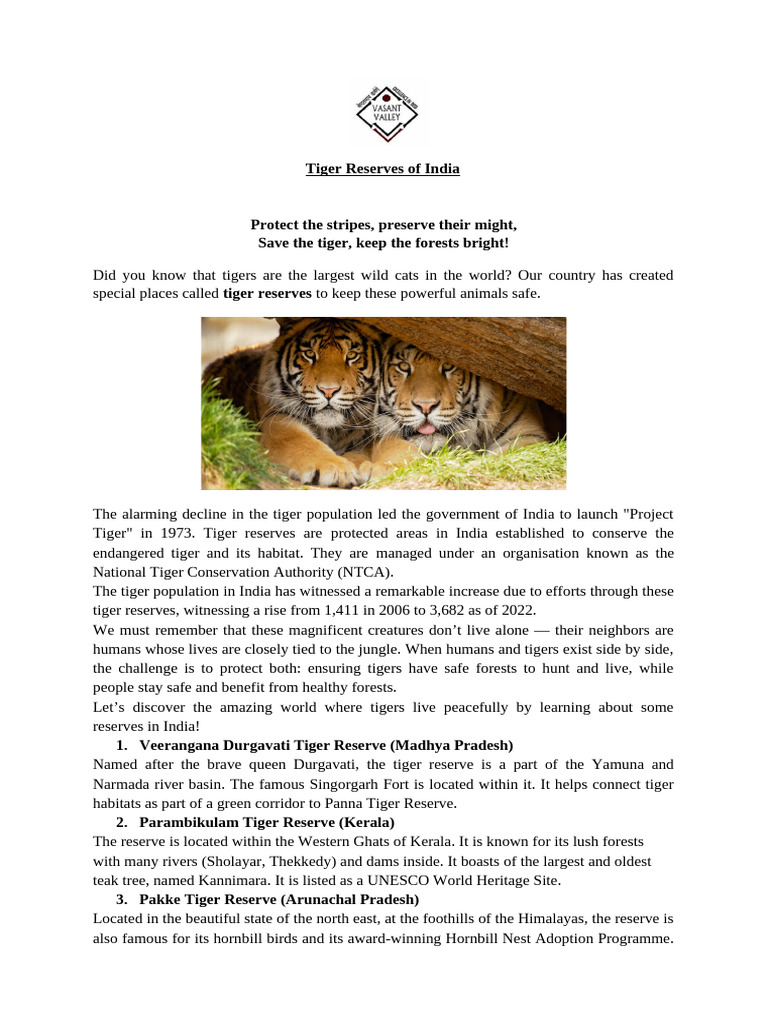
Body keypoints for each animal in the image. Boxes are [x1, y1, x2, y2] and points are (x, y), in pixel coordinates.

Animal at [202, 318, 386, 486]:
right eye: (310, 354)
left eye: (352, 355)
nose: (328, 391)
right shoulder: (276, 420)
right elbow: (301, 442)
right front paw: (337, 469)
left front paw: (364, 466)